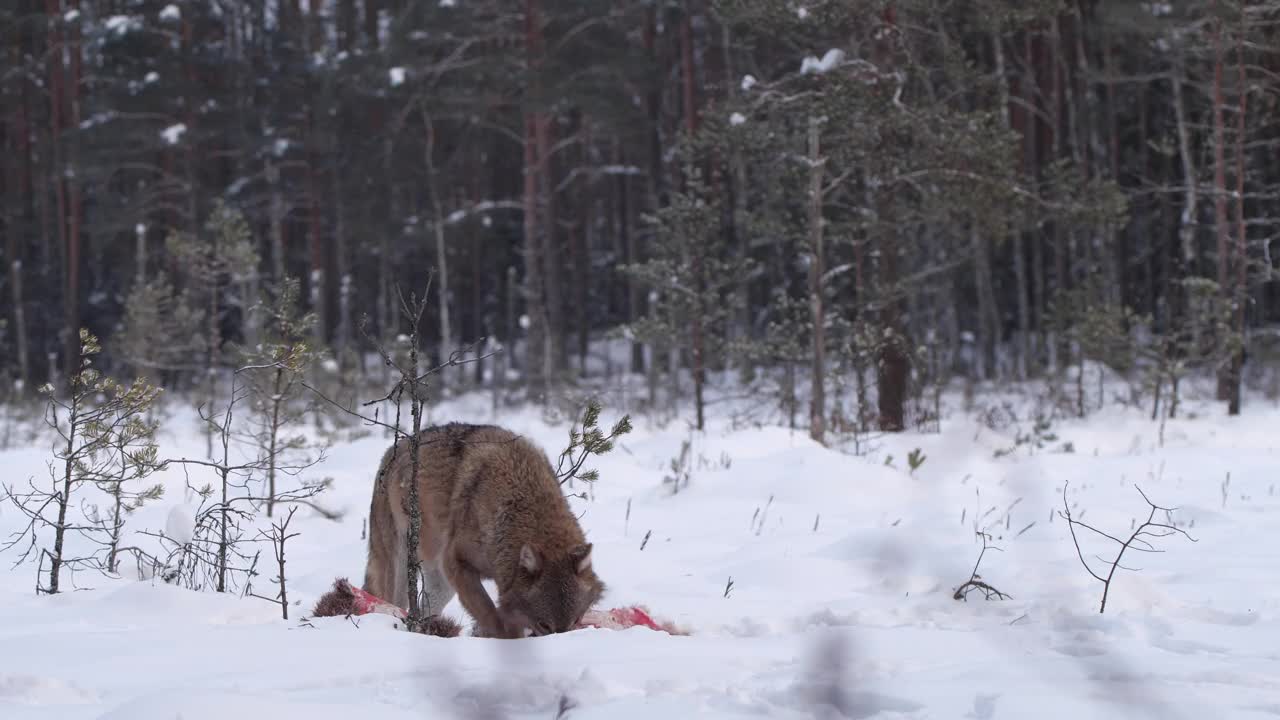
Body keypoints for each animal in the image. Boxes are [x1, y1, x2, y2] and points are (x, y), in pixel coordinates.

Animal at [360, 422, 599, 635]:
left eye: (575, 621)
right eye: (544, 625)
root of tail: (394, 448)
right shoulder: (455, 562)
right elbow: (492, 617)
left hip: (441, 584)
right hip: (401, 564)